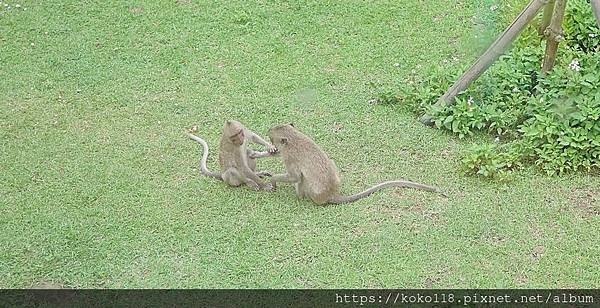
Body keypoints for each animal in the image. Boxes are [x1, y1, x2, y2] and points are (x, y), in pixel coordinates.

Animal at [268, 122, 446, 205]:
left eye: (271, 138)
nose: (271, 145)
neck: (294, 138)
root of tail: (332, 194)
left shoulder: (289, 157)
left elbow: (295, 177)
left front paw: (272, 179)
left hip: (312, 192)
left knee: (302, 180)